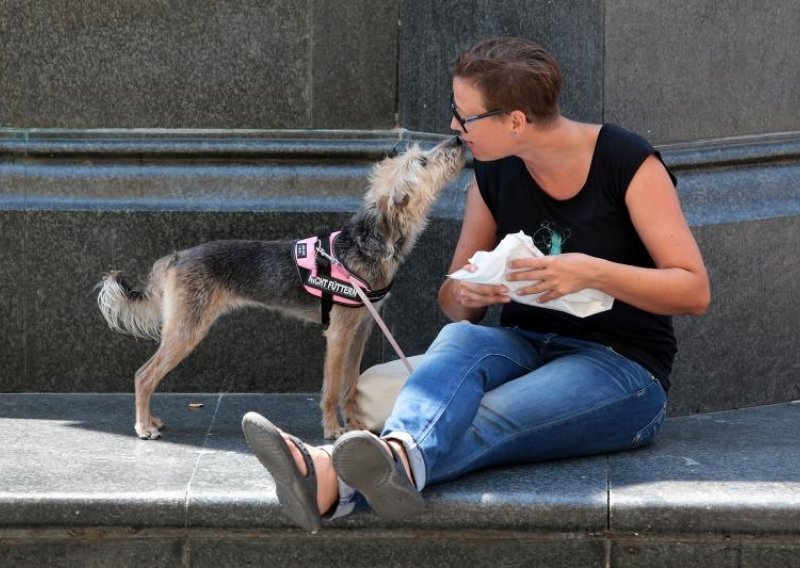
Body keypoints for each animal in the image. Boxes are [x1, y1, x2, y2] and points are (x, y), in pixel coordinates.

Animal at [97, 138, 466, 440]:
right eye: (421, 162)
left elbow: (349, 386)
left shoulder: (361, 329)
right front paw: (333, 429)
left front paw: (355, 425)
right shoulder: (338, 333)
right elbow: (332, 387)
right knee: (144, 375)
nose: (458, 139)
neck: (368, 243)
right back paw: (143, 426)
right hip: (186, 329)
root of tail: (175, 258)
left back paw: (151, 420)